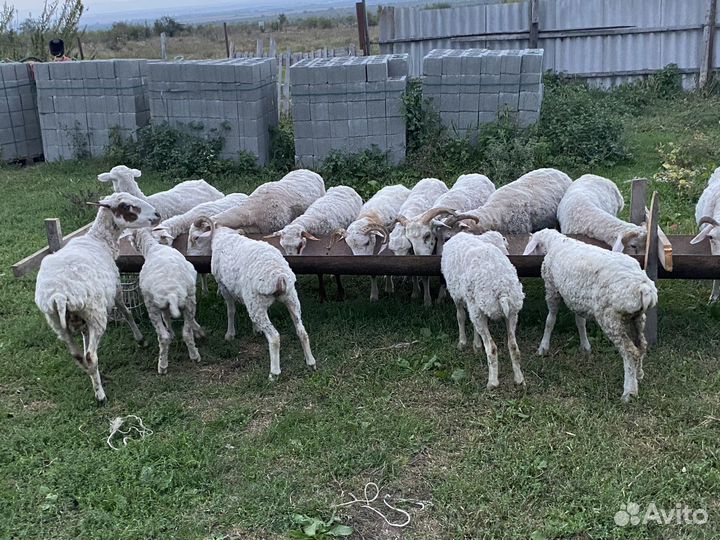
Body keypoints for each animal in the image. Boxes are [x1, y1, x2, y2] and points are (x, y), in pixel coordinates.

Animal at [34, 193, 162, 405]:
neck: (99, 240)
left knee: (79, 356)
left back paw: (94, 377)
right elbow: (127, 313)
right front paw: (140, 339)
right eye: (127, 206)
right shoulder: (116, 288)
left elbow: (85, 337)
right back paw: (100, 395)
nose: (157, 214)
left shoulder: (82, 321)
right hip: (96, 313)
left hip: (59, 324)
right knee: (90, 356)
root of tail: (59, 295)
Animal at [130, 228, 205, 375]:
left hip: (152, 305)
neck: (152, 247)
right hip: (185, 299)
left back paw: (163, 366)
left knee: (164, 337)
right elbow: (168, 317)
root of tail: (172, 293)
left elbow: (166, 318)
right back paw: (193, 356)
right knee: (185, 333)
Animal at [196, 217, 316, 380]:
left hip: (258, 303)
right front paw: (256, 329)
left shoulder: (223, 287)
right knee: (302, 331)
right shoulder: (247, 298)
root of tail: (279, 277)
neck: (224, 236)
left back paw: (274, 373)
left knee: (274, 337)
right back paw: (311, 363)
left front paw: (230, 334)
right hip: (291, 298)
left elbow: (230, 311)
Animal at [523, 229, 658, 402]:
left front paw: (543, 347)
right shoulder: (577, 298)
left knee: (630, 352)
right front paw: (585, 346)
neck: (555, 243)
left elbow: (550, 320)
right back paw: (638, 374)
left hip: (610, 318)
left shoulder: (552, 288)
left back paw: (629, 391)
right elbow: (580, 322)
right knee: (641, 346)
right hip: (637, 317)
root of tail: (644, 289)